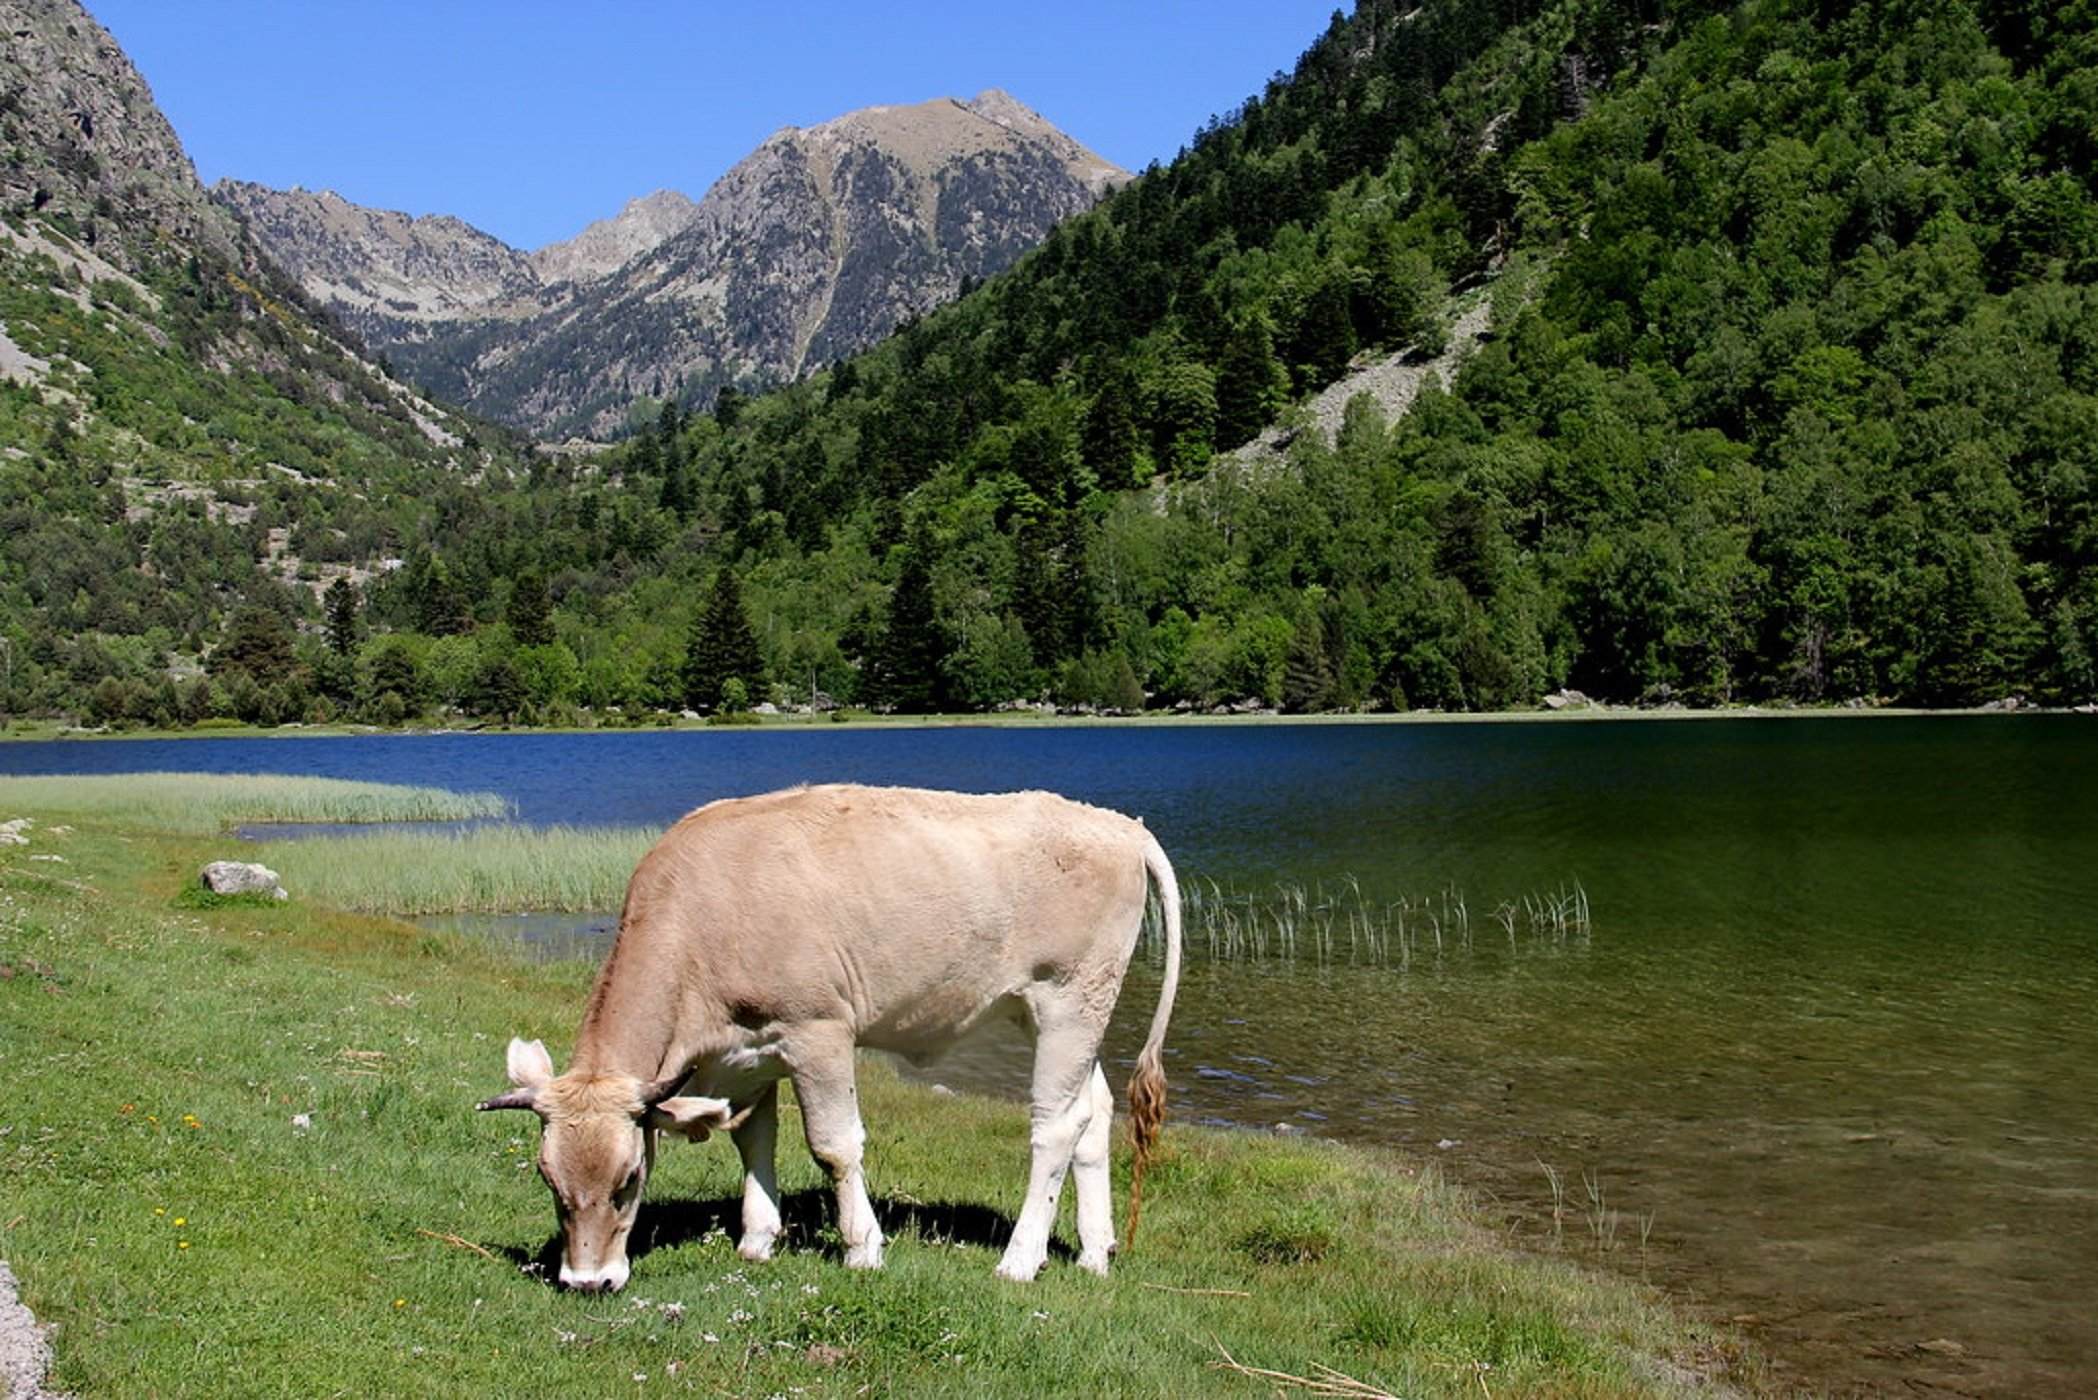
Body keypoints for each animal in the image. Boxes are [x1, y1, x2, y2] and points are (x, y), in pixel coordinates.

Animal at [480, 776, 1191, 1292]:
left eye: (629, 1178)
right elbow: (752, 1139)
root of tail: (1118, 825)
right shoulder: (748, 1051)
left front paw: (862, 1247)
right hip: (1055, 1013)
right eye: (548, 1180)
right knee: (1092, 1113)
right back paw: (1094, 1252)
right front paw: (758, 1239)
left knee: (1055, 1126)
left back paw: (1020, 1259)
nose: (587, 1280)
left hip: (1071, 1000)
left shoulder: (817, 1031)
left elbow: (835, 1146)